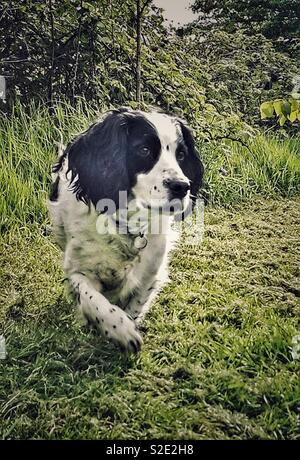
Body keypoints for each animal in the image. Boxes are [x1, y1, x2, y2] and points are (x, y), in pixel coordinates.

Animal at [49, 107, 204, 352]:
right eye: (144, 150)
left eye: (181, 155)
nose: (182, 187)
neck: (125, 225)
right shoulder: (78, 271)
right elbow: (93, 300)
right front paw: (119, 328)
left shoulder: (149, 274)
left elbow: (135, 305)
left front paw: (128, 323)